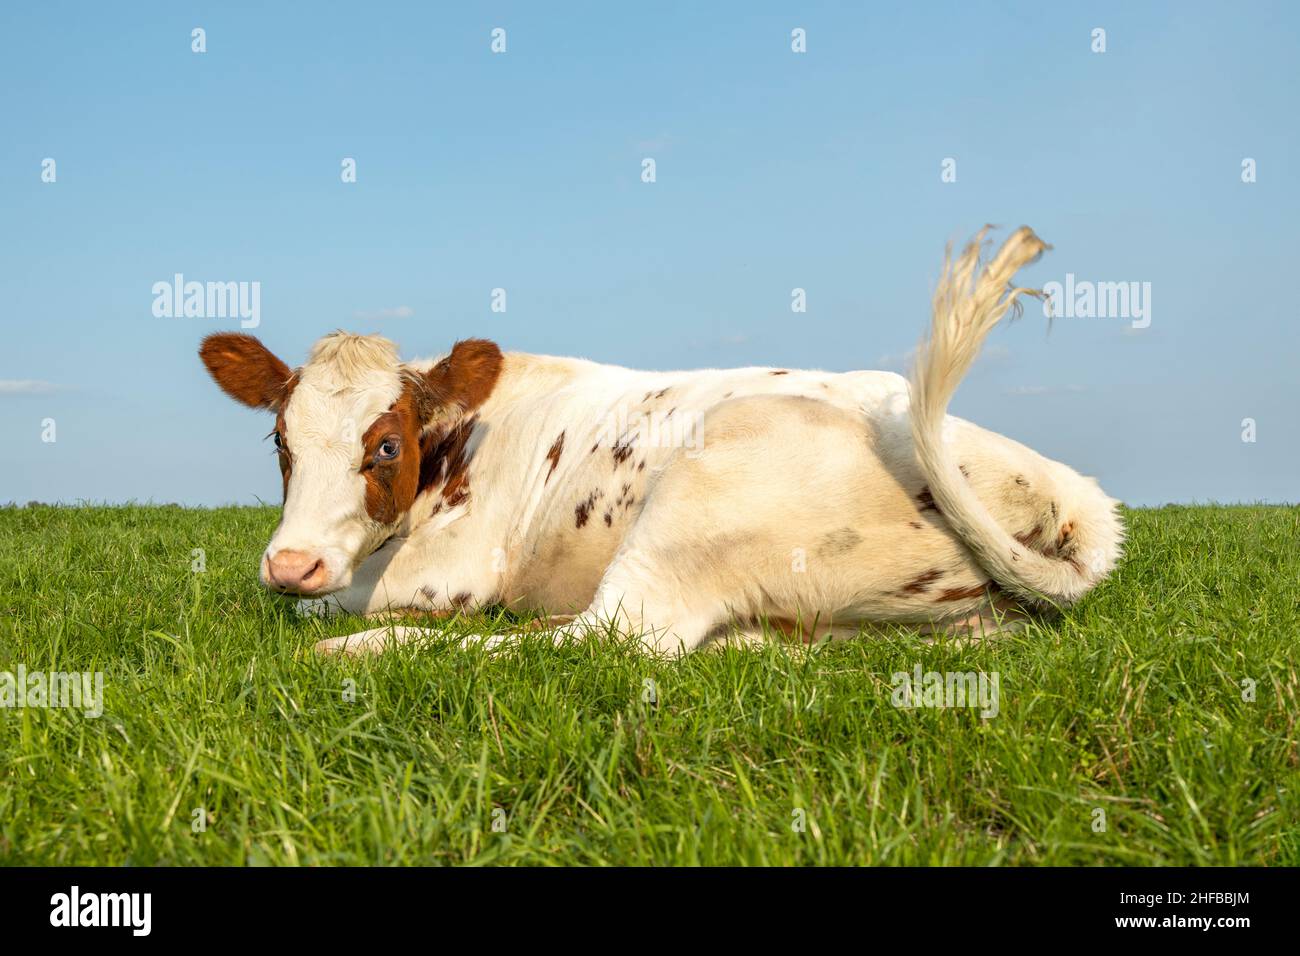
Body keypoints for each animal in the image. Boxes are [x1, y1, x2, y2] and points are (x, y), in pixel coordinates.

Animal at [197, 227, 1123, 655]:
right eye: (279, 440)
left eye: (387, 445)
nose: (290, 563)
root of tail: (1058, 490)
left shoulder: (454, 566)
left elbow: (338, 600)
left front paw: (335, 613)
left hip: (700, 498)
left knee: (602, 638)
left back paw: (361, 650)